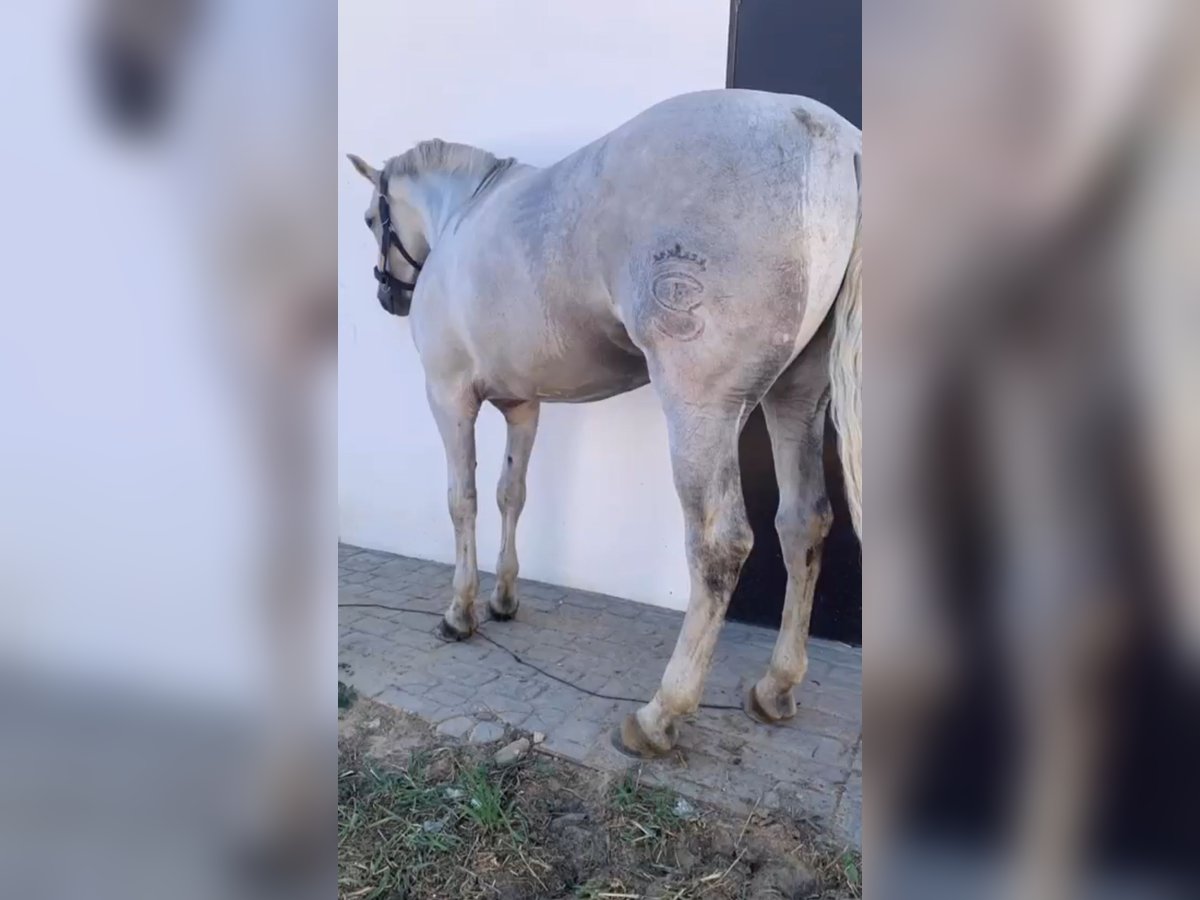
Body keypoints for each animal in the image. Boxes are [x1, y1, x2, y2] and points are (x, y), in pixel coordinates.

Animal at [350, 90, 864, 763]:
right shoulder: (524, 405)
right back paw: (775, 687)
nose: (390, 296)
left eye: (369, 219)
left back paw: (660, 715)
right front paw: (504, 598)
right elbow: (511, 494)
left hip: (702, 408)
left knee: (719, 544)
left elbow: (463, 499)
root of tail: (836, 144)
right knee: (804, 522)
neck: (464, 216)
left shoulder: (448, 395)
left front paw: (461, 612)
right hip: (796, 398)